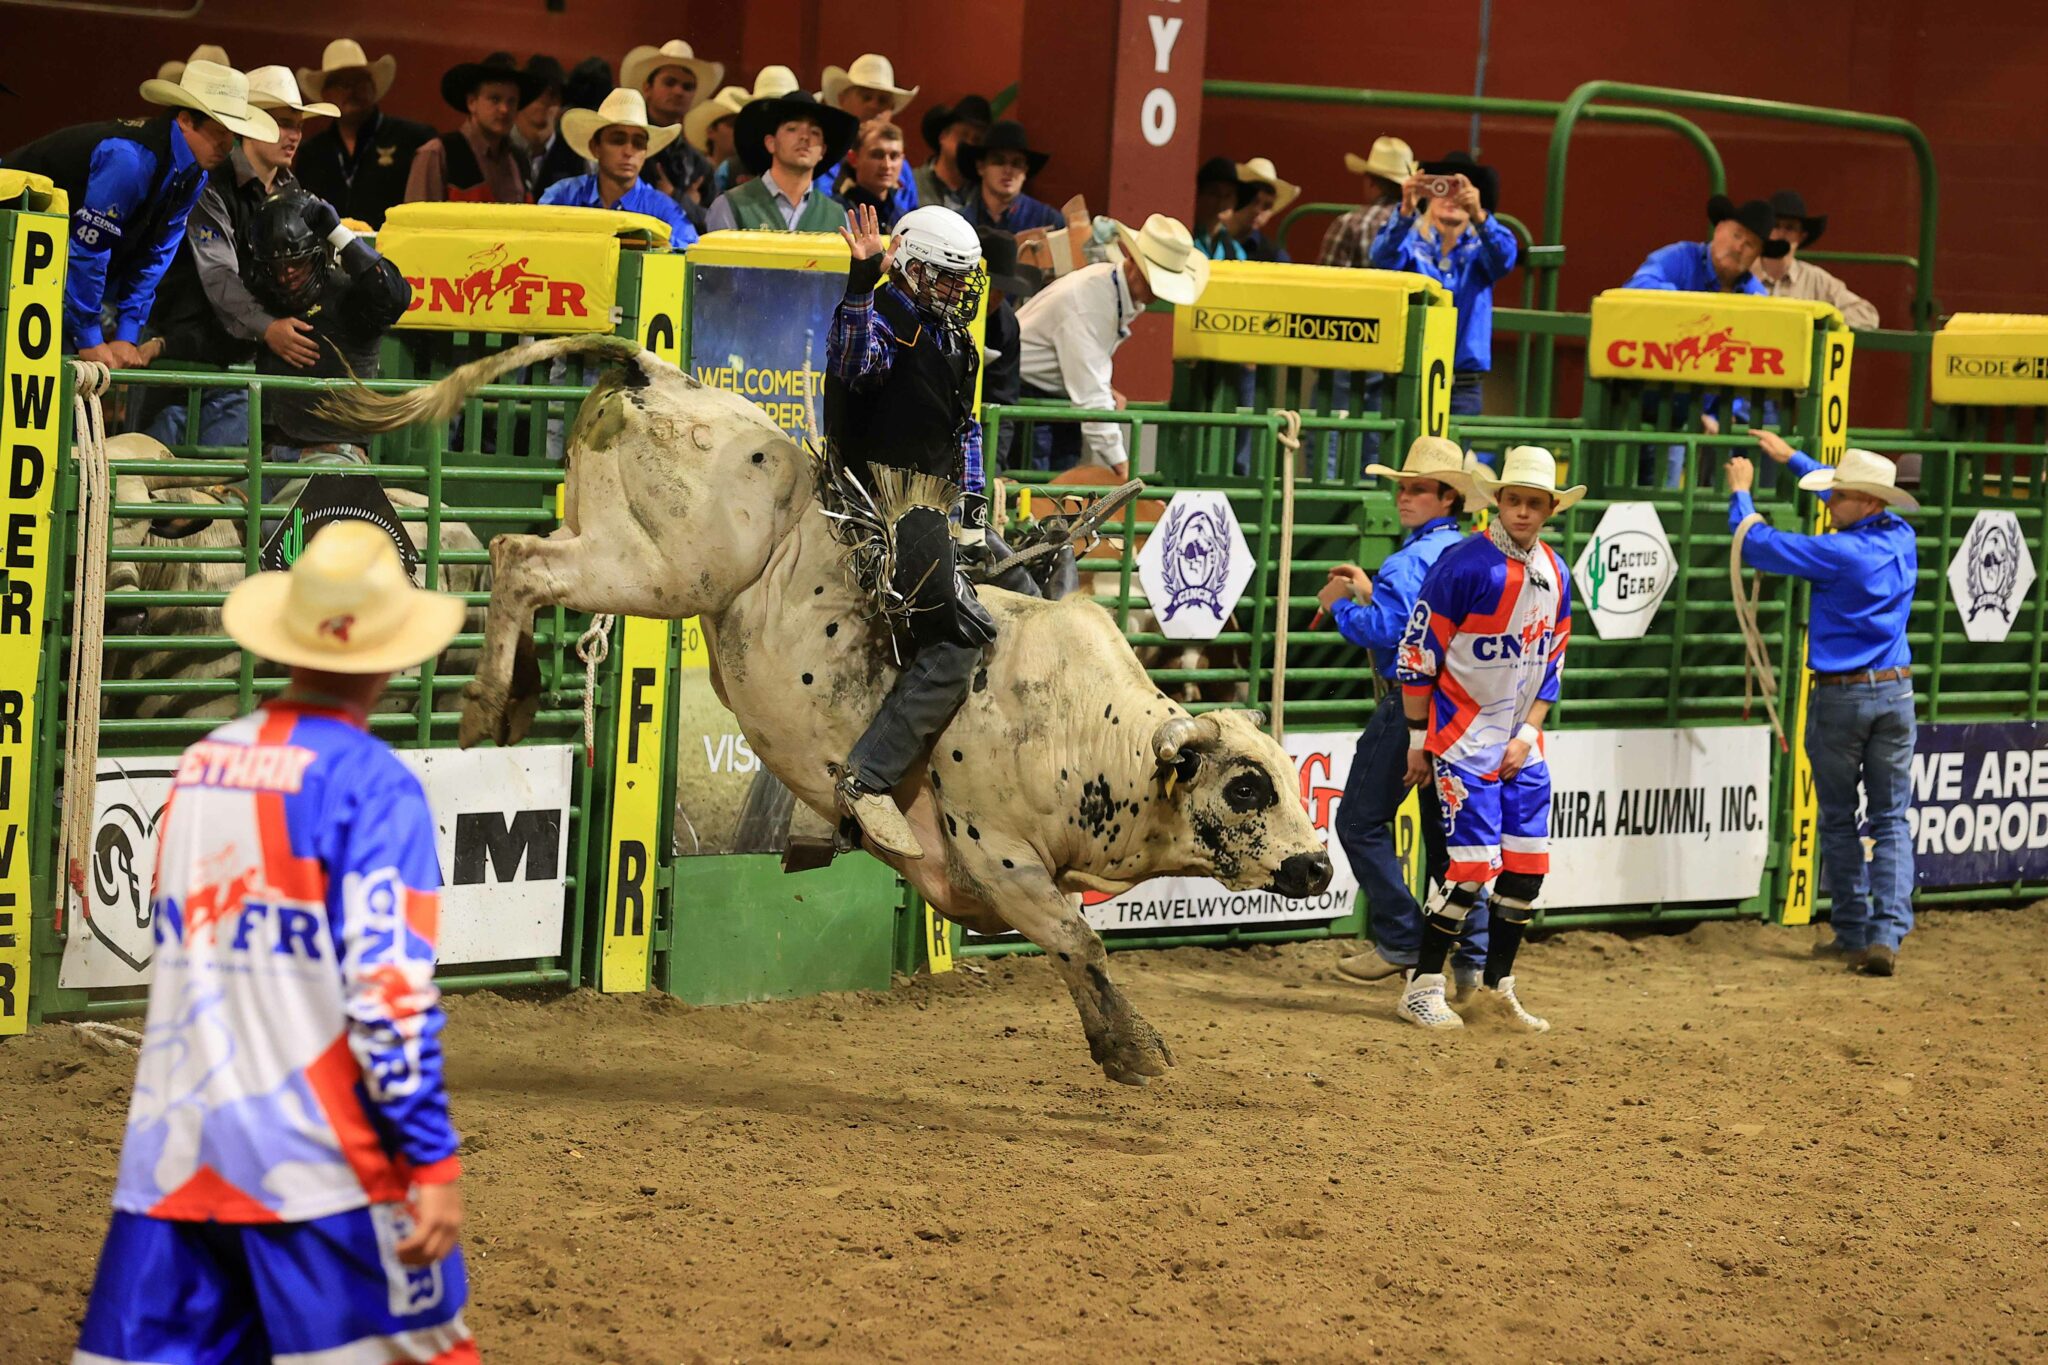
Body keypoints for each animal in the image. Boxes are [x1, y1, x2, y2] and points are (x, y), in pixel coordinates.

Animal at [322, 334, 1334, 1084]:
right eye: (1246, 787)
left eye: (1293, 779)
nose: (1319, 865)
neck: (1094, 731)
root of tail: (661, 373)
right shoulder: (997, 855)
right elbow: (1078, 938)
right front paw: (1132, 1050)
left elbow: (1074, 936)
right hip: (668, 570)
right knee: (518, 559)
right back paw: (490, 705)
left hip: (615, 541)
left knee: (519, 555)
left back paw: (516, 694)